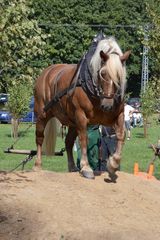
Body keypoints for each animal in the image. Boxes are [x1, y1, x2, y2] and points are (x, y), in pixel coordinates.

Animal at [33, 36, 130, 179]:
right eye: (103, 73)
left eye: (120, 76)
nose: (107, 105)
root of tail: (46, 72)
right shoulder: (81, 116)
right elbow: (84, 139)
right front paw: (86, 167)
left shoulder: (118, 115)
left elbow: (121, 135)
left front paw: (113, 164)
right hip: (42, 114)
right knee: (40, 138)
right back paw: (37, 164)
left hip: (72, 122)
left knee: (68, 142)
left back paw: (72, 166)